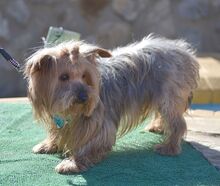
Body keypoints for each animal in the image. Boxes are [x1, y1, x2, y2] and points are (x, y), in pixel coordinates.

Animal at [23, 34, 199, 173]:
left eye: (85, 76)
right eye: (64, 77)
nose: (84, 97)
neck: (72, 111)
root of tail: (184, 51)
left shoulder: (99, 123)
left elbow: (92, 142)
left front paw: (72, 163)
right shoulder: (60, 118)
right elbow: (57, 131)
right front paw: (49, 145)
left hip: (169, 95)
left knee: (177, 123)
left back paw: (169, 147)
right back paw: (157, 127)